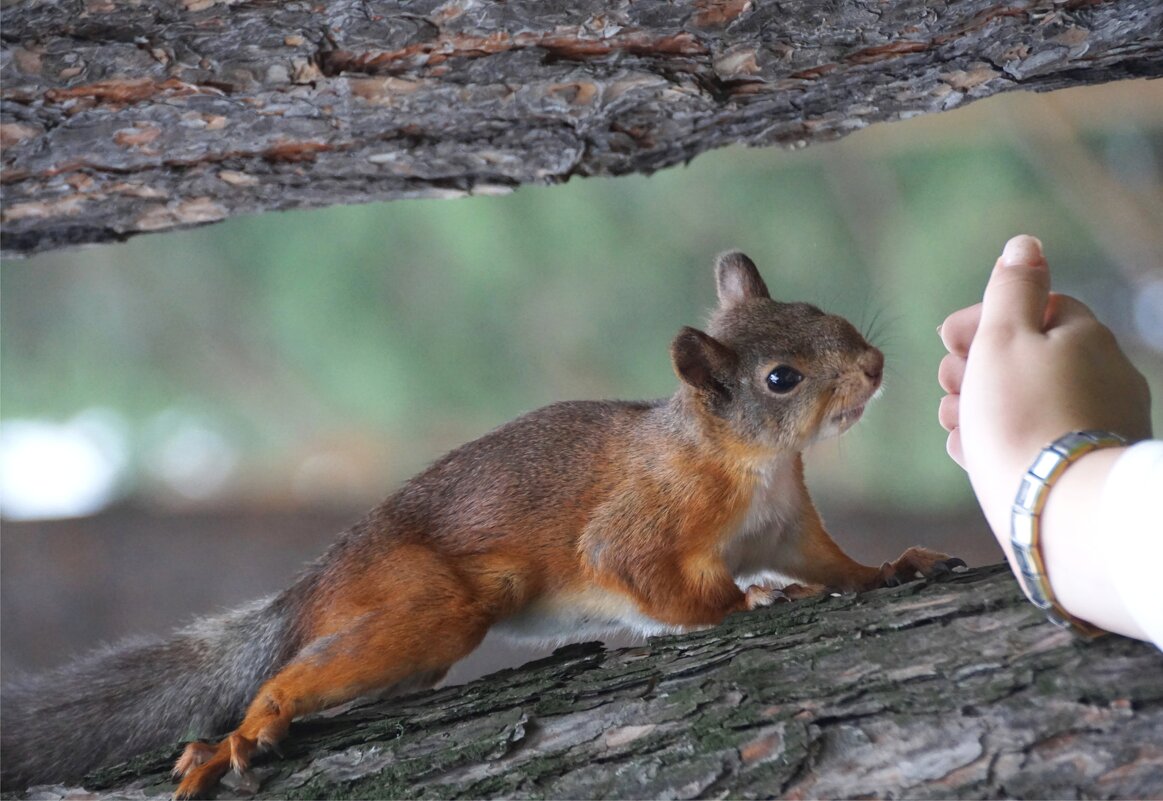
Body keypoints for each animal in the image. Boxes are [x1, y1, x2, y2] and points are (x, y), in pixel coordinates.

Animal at [0, 249, 962, 795]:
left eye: (818, 310)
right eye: (780, 379)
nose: (874, 365)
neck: (749, 464)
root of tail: (313, 584)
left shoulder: (788, 523)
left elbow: (832, 562)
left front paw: (889, 568)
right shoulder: (641, 525)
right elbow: (659, 582)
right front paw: (751, 604)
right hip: (427, 602)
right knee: (295, 672)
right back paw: (248, 725)